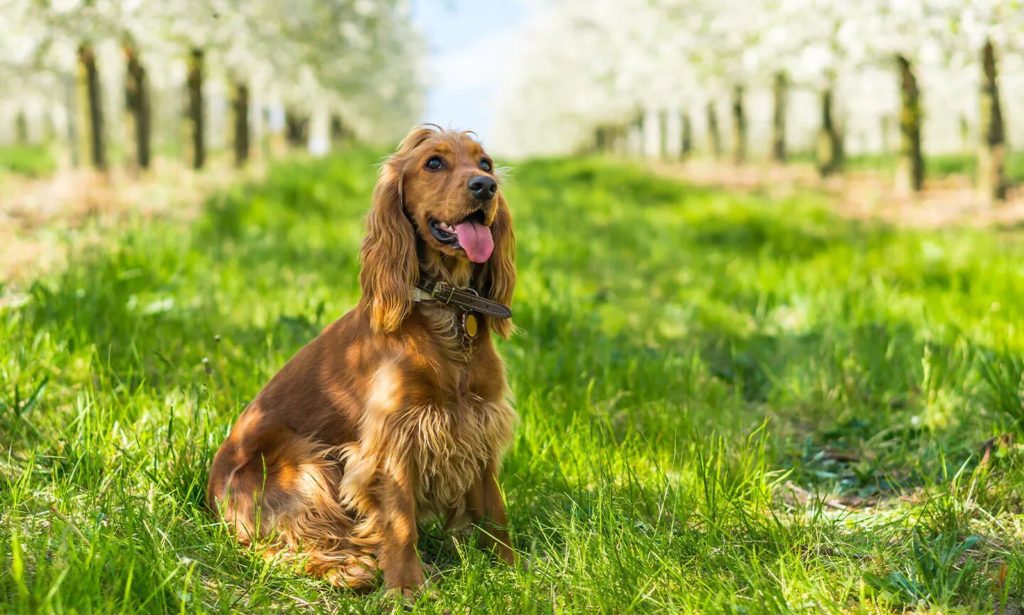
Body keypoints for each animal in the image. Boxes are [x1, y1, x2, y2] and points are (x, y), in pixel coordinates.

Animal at [205, 125, 520, 593]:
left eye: (485, 163)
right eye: (434, 163)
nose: (485, 187)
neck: (445, 311)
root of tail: (210, 496)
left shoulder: (479, 422)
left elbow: (495, 510)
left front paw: (515, 570)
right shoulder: (395, 435)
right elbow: (401, 521)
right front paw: (407, 588)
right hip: (303, 463)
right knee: (281, 548)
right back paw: (351, 568)